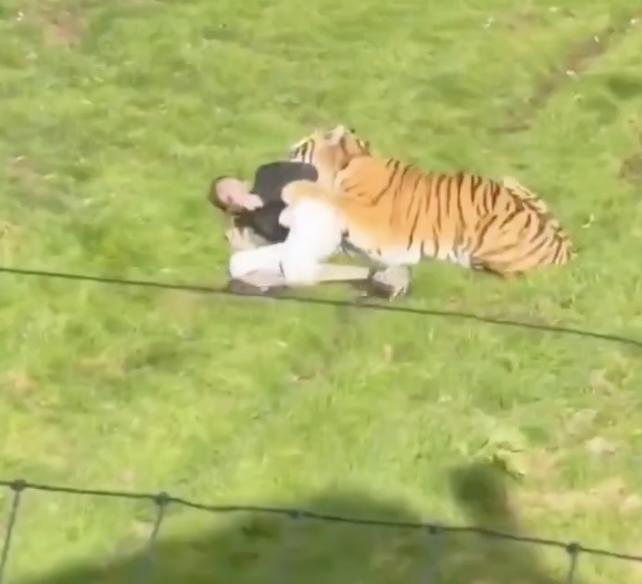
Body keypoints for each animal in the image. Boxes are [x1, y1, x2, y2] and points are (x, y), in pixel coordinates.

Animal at [227, 125, 574, 299]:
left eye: (297, 150)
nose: (279, 158)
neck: (351, 162)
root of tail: (568, 255)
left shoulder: (372, 223)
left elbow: (331, 198)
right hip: (512, 182)